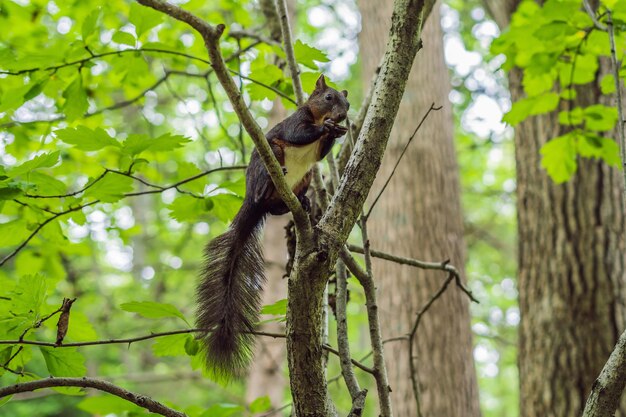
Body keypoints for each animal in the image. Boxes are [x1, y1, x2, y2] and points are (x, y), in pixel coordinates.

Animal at [195, 75, 348, 376]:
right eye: (328, 98)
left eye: (346, 103)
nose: (341, 115)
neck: (317, 116)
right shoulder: (296, 122)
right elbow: (298, 134)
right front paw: (326, 128)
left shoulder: (319, 155)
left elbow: (321, 154)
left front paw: (336, 133)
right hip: (269, 159)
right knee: (263, 186)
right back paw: (266, 187)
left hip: (304, 179)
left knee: (277, 206)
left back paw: (302, 202)